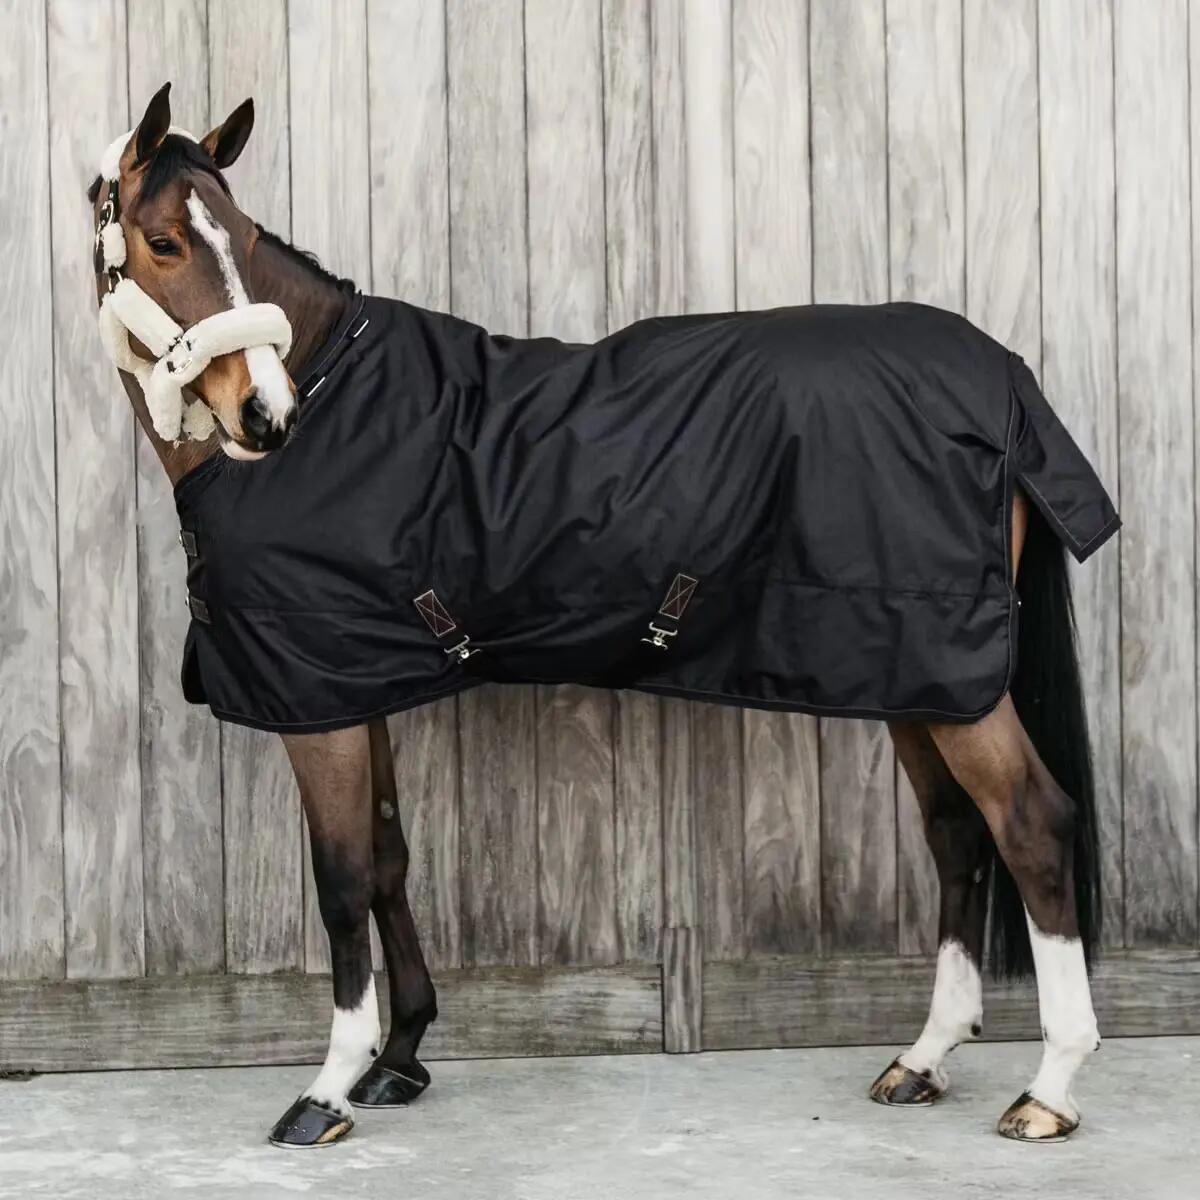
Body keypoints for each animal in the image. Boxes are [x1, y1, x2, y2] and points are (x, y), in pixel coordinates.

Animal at [88, 82, 1116, 1148]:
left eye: (241, 238)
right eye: (165, 242)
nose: (266, 414)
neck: (336, 406)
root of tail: (1002, 374)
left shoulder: (317, 706)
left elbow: (340, 882)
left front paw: (329, 1087)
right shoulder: (354, 685)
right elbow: (387, 859)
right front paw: (401, 1057)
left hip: (953, 679)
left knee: (1032, 824)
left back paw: (1050, 1086)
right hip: (915, 673)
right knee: (958, 832)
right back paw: (924, 1057)